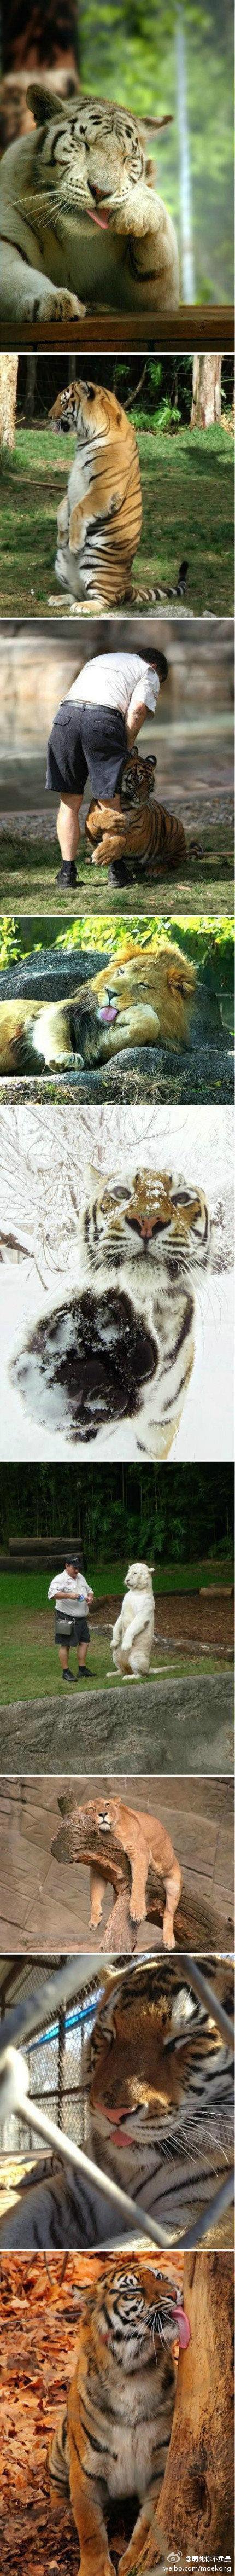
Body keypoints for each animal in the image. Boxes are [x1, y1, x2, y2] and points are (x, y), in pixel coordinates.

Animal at [0, 88, 179, 337]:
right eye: (83, 144)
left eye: (127, 157)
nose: (101, 191)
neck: (74, 237)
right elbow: (15, 274)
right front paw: (52, 300)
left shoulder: (157, 294)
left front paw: (139, 212)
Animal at [0, 943, 196, 1071]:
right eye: (121, 972)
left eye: (144, 985)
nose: (110, 992)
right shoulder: (52, 1013)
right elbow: (56, 1035)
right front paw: (65, 1057)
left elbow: (148, 1024)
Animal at [86, 752, 187, 881]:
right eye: (137, 781)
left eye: (150, 785)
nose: (144, 800)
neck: (123, 801)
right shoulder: (93, 838)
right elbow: (92, 820)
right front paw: (114, 819)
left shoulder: (140, 834)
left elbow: (122, 839)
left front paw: (103, 854)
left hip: (175, 824)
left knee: (172, 862)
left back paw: (156, 869)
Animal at [110, 1556, 155, 1679]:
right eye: (128, 1572)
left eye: (135, 1573)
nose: (127, 1580)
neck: (135, 1592)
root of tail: (150, 1668)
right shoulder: (122, 1612)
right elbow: (116, 1626)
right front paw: (114, 1642)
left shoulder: (143, 1615)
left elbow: (131, 1629)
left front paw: (126, 1646)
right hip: (115, 1654)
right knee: (122, 1669)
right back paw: (112, 1674)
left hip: (137, 1657)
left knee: (141, 1674)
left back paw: (130, 1677)